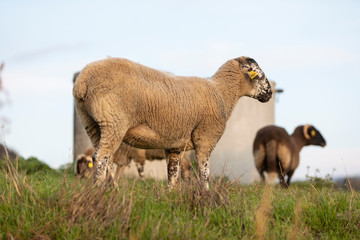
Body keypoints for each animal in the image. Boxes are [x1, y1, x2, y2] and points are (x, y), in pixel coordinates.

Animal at [72, 55, 270, 188]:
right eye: (259, 75)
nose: (269, 94)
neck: (222, 92)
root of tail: (82, 82)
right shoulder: (205, 138)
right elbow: (204, 172)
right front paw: (206, 195)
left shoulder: (174, 146)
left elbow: (172, 174)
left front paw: (170, 195)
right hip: (113, 122)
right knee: (102, 157)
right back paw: (101, 190)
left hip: (91, 123)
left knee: (102, 156)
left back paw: (110, 188)